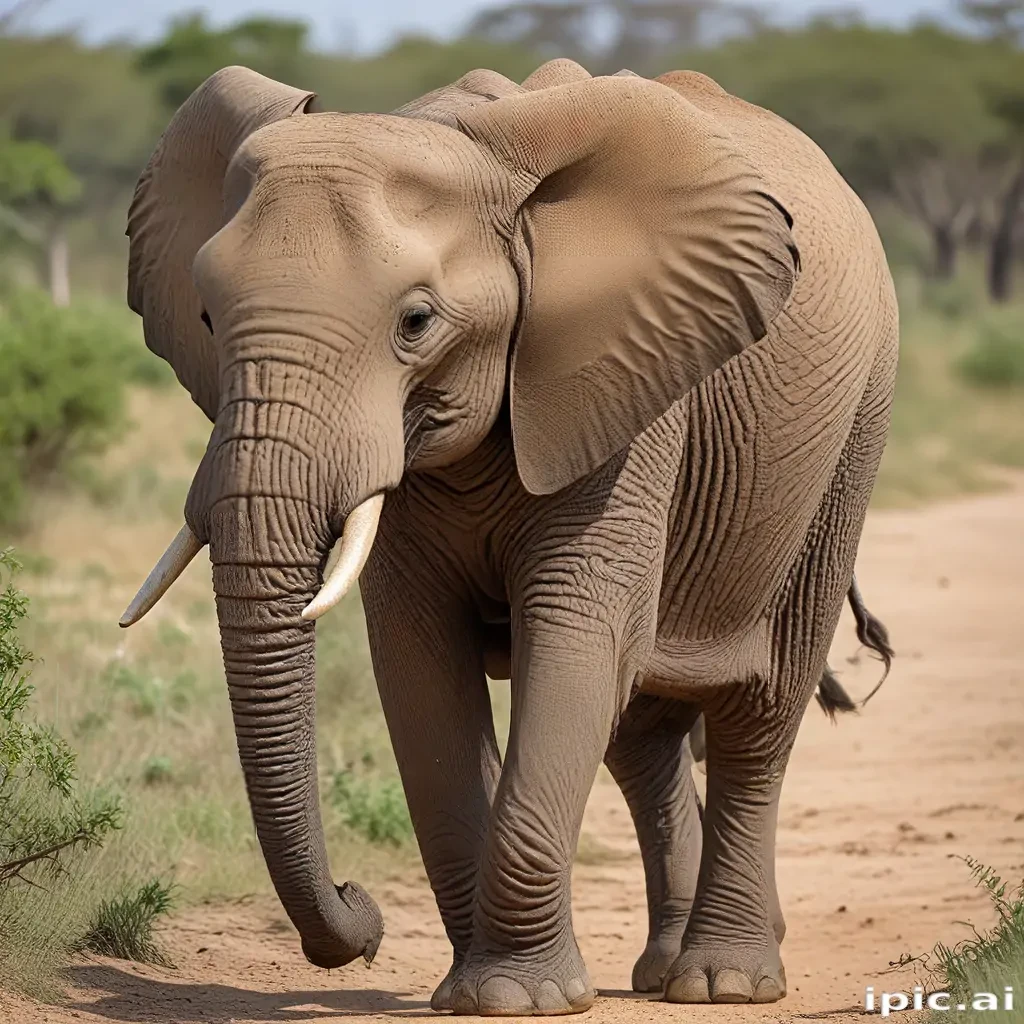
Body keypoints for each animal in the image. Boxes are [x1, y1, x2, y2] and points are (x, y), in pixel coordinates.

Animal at [119, 56, 897, 1015]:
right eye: (204, 320)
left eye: (416, 323)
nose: (360, 910)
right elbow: (420, 669)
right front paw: (472, 990)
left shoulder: (622, 390)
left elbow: (572, 643)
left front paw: (515, 998)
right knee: (642, 731)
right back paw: (663, 969)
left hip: (852, 433)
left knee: (761, 714)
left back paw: (723, 981)